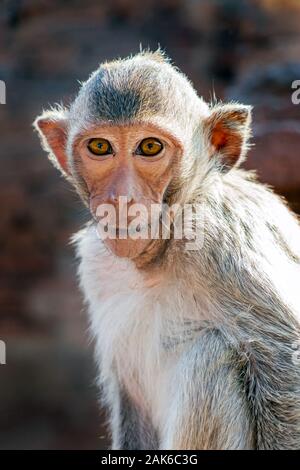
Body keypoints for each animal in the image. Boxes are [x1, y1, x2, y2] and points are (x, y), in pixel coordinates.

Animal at [33, 49, 300, 450]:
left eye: (150, 147)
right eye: (100, 147)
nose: (121, 200)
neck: (162, 251)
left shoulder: (221, 241)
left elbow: (285, 362)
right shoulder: (96, 267)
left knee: (210, 355)